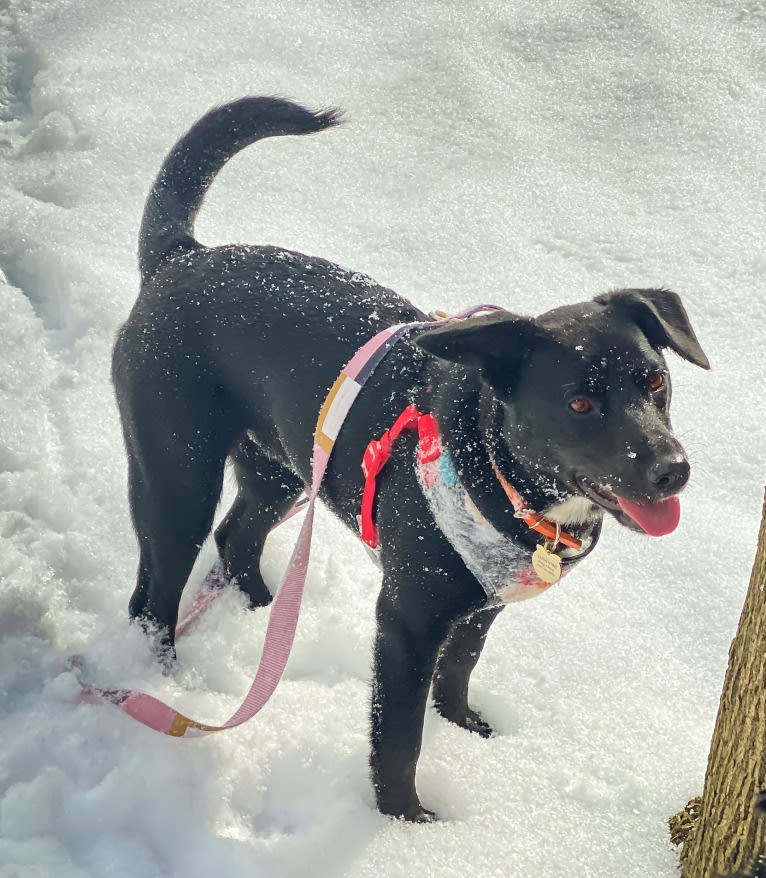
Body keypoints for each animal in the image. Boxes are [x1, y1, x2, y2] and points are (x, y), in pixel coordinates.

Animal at [114, 98, 712, 824]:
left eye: (655, 380)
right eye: (579, 404)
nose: (672, 468)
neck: (496, 468)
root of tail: (182, 256)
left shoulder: (481, 604)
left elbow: (459, 671)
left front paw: (468, 732)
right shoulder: (406, 620)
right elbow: (398, 736)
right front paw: (407, 822)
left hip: (283, 464)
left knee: (237, 536)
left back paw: (263, 615)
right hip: (176, 475)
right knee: (153, 595)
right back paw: (170, 681)